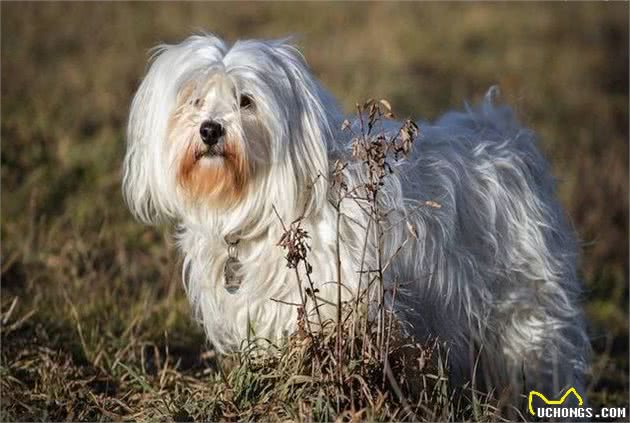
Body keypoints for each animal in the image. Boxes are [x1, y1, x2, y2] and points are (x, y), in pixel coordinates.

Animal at [122, 34, 588, 402]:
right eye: (194, 100)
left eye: (245, 100)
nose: (210, 129)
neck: (263, 208)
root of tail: (501, 136)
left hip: (524, 306)